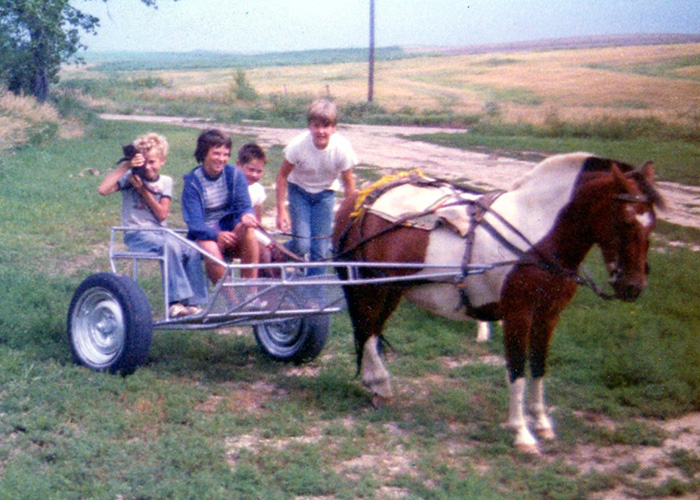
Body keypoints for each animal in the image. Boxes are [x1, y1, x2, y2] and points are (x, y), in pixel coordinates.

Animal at [332, 152, 663, 453]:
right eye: (625, 220)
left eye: (652, 223)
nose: (633, 287)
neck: (536, 233)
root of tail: (359, 200)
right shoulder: (518, 314)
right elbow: (516, 371)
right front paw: (522, 433)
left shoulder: (549, 316)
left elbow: (538, 367)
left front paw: (542, 422)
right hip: (371, 288)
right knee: (367, 330)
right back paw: (378, 382)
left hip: (391, 290)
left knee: (371, 331)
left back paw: (379, 387)